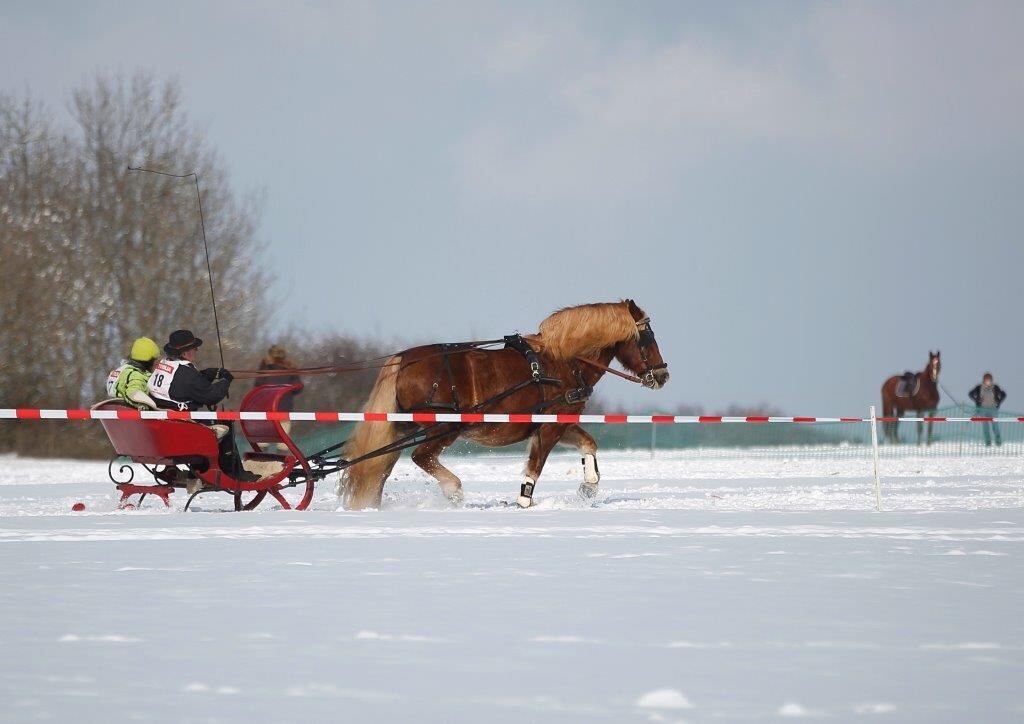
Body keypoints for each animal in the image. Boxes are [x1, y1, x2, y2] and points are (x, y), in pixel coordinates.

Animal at [339, 301, 667, 509]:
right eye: (646, 338)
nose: (663, 375)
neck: (564, 362)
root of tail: (404, 360)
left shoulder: (559, 422)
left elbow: (589, 444)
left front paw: (589, 486)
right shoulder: (550, 428)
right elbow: (536, 465)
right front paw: (524, 500)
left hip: (402, 428)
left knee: (380, 468)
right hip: (443, 427)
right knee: (421, 457)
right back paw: (453, 490)